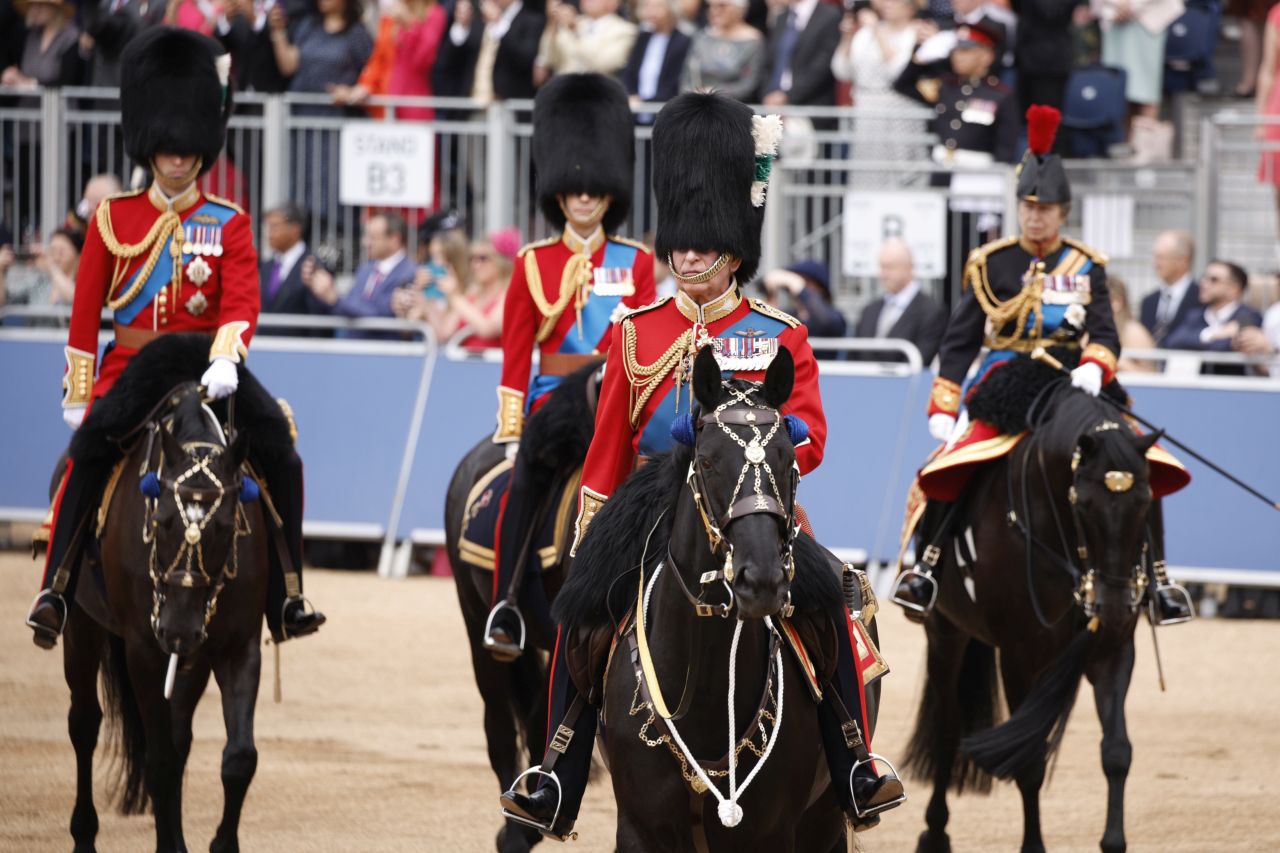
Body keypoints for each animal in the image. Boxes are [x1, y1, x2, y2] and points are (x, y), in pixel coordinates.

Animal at [63, 384, 268, 850]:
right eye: (160, 520)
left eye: (226, 526)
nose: (177, 630)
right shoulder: (143, 650)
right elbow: (159, 763)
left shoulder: (238, 647)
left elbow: (239, 758)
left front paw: (220, 844)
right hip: (81, 625)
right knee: (84, 724)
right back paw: (84, 833)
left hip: (193, 660)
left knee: (179, 740)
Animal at [560, 348, 880, 850]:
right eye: (708, 462)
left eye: (788, 458)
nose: (762, 579)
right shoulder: (638, 827)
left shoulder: (774, 832)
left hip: (825, 819)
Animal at [906, 379, 1167, 850]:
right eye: (1083, 504)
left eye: (1145, 503)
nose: (1114, 607)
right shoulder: (1017, 656)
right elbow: (1027, 764)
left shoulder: (1113, 650)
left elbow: (1117, 751)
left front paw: (1113, 841)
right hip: (945, 634)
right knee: (948, 729)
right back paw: (935, 831)